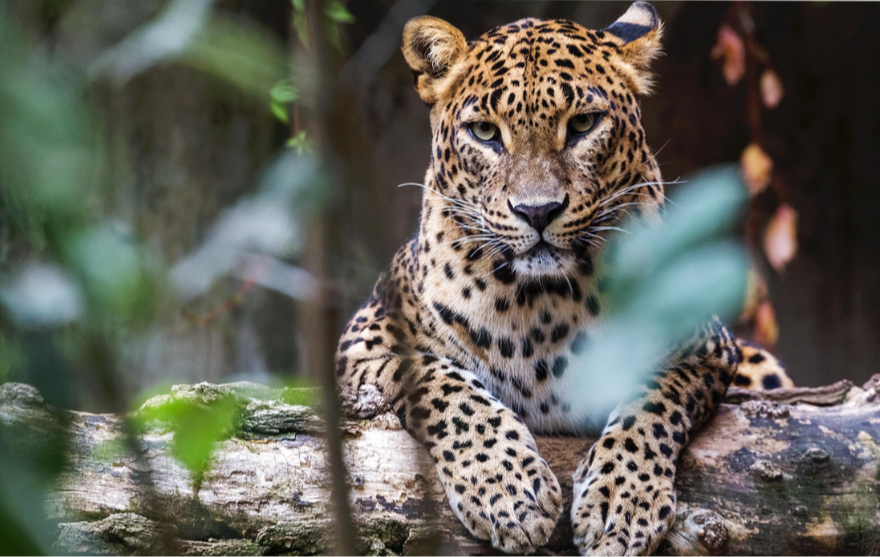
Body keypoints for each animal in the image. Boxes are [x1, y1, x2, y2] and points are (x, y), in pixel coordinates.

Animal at [336, 3, 789, 555]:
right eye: (484, 132)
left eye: (583, 125)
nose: (537, 211)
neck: (541, 304)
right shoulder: (364, 342)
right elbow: (442, 384)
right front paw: (507, 491)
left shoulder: (703, 346)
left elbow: (652, 399)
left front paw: (621, 504)